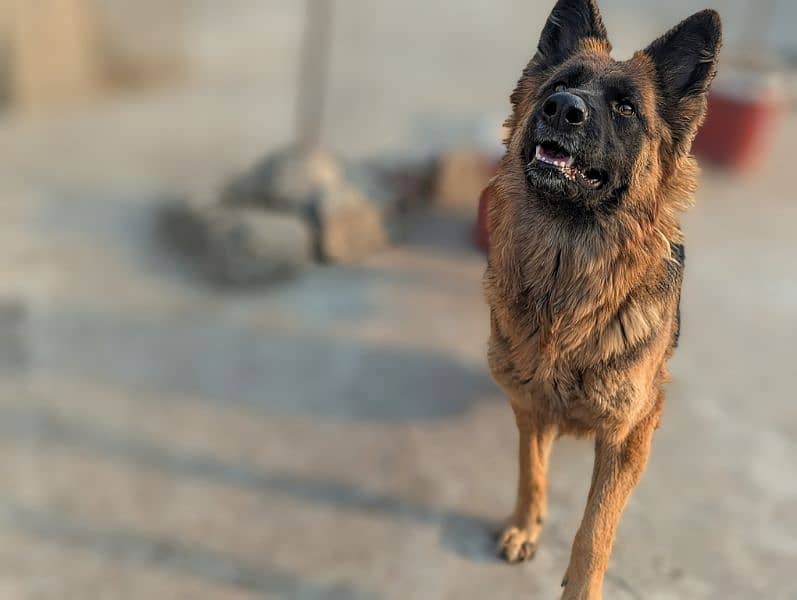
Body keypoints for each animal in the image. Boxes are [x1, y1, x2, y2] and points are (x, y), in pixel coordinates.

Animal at [486, 0, 720, 596]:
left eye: (625, 108)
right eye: (559, 86)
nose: (561, 109)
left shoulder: (627, 435)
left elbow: (596, 528)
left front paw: (582, 585)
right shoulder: (530, 404)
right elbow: (531, 469)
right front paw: (526, 525)